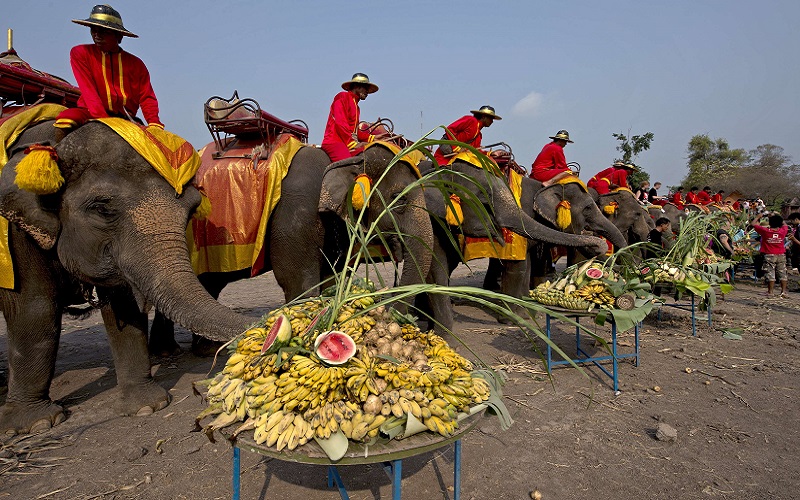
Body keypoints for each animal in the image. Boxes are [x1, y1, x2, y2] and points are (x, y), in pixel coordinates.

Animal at [0, 120, 250, 434]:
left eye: (193, 207)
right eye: (101, 208)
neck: (58, 139)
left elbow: (124, 306)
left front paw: (147, 406)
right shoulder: (15, 234)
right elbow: (34, 308)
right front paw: (36, 425)